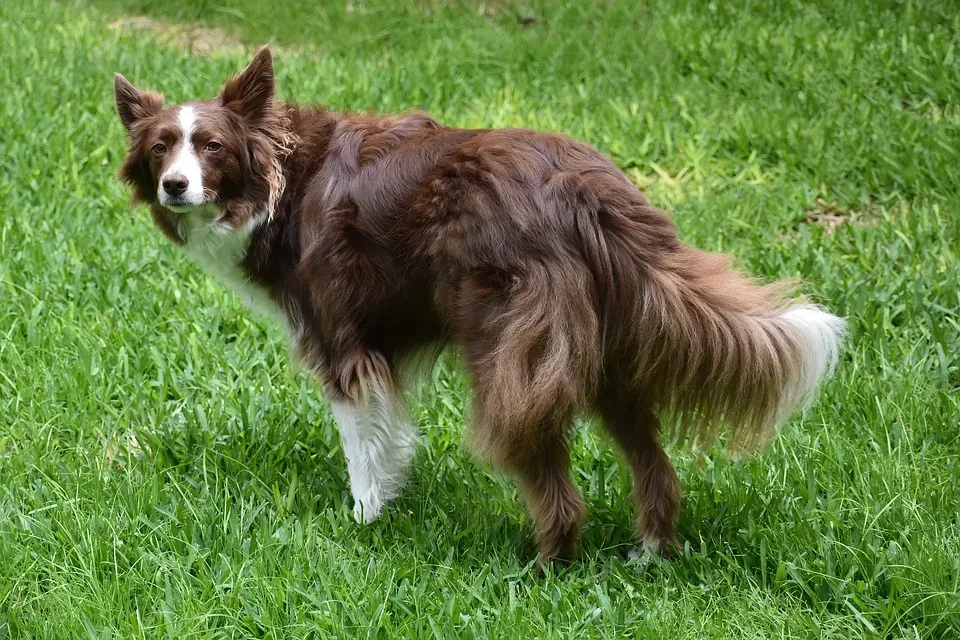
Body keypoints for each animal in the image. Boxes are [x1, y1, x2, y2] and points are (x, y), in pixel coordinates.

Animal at [116, 47, 844, 564]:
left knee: (552, 480)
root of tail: (586, 188)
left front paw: (365, 521)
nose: (175, 186)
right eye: (160, 148)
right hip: (612, 353)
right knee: (654, 467)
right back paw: (649, 555)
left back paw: (548, 566)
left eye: (212, 147)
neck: (282, 178)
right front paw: (394, 499)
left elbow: (361, 444)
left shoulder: (342, 341)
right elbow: (393, 434)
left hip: (508, 351)